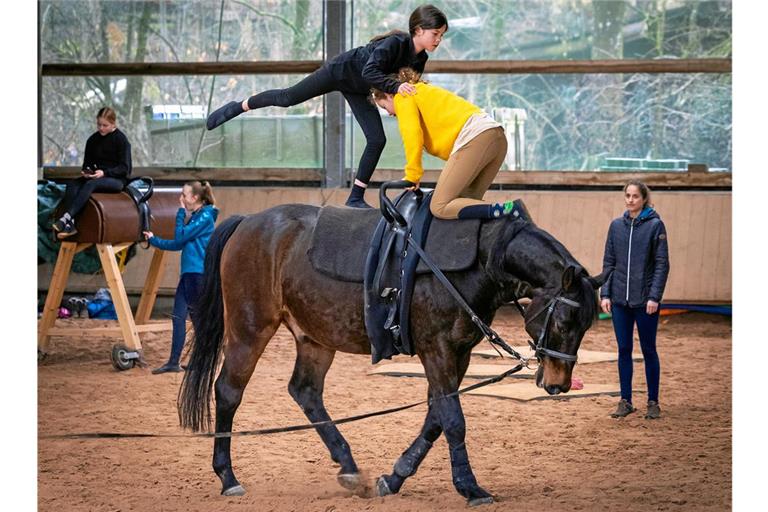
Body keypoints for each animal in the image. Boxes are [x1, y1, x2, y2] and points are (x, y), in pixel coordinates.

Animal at [178, 203, 608, 504]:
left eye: (587, 325)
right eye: (564, 321)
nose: (558, 384)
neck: (483, 258)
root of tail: (248, 221)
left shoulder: (459, 354)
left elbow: (435, 418)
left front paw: (395, 477)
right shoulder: (437, 350)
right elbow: (453, 421)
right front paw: (470, 488)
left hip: (315, 337)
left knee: (305, 392)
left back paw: (349, 467)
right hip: (250, 330)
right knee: (228, 392)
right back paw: (228, 478)